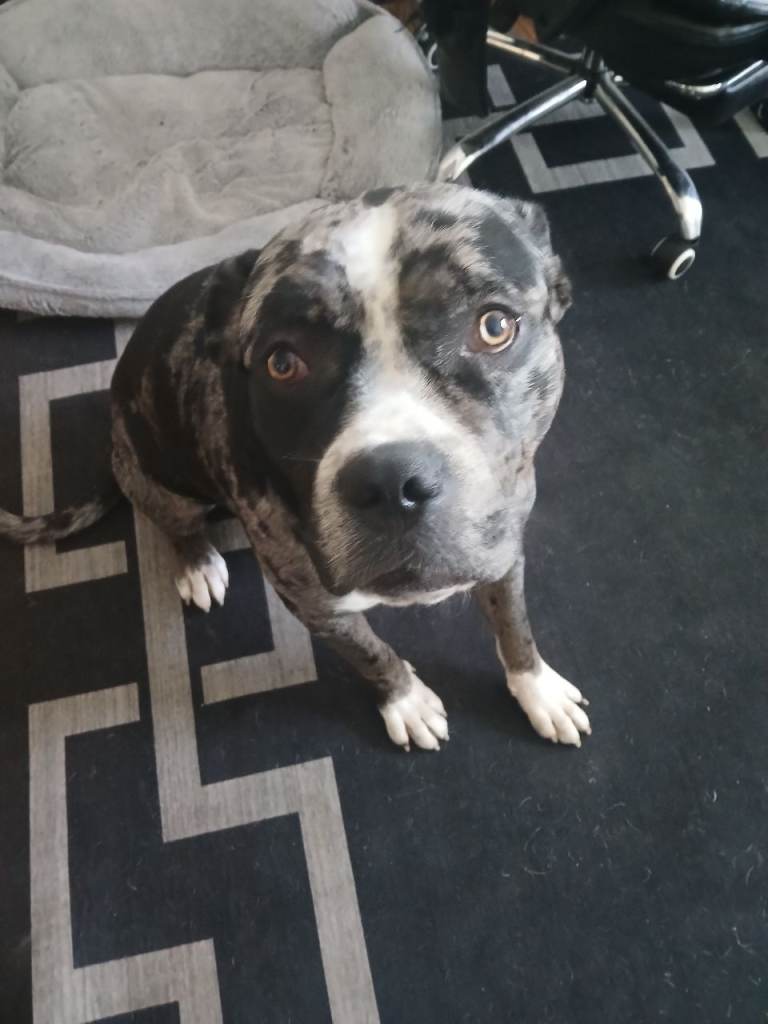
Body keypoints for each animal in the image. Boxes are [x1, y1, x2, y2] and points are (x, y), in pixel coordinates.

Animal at [0, 184, 590, 750]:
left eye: (495, 326)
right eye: (282, 362)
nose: (391, 484)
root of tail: (112, 440)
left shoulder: (504, 551)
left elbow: (514, 623)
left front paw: (536, 689)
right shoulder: (314, 603)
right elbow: (371, 654)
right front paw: (406, 702)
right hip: (156, 479)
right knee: (176, 523)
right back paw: (197, 562)